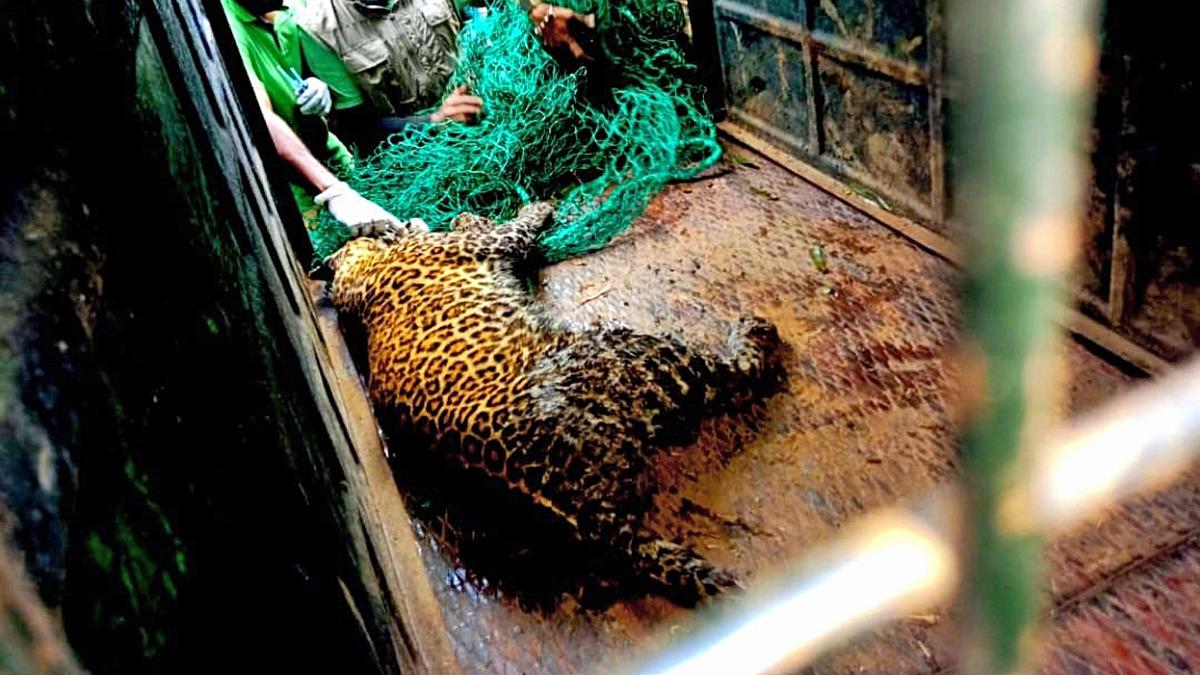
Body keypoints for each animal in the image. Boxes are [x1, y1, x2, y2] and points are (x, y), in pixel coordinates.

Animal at [324, 202, 784, 605]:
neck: (363, 280)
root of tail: (589, 512)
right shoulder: (497, 243)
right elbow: (517, 225)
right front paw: (536, 208)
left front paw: (459, 216)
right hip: (638, 349)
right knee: (736, 378)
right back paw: (755, 332)